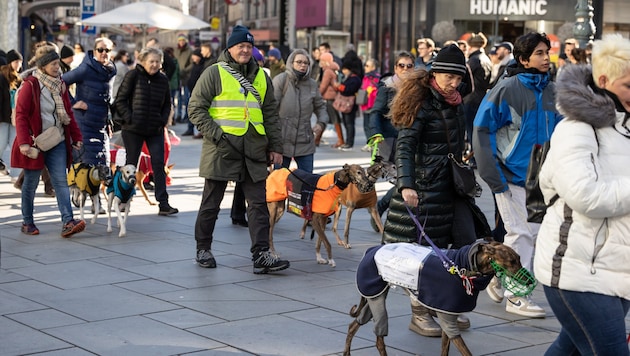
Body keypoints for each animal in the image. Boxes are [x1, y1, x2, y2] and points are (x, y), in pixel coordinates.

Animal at [346, 241, 532, 354]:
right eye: (512, 261)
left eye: (519, 258)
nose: (531, 281)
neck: (464, 268)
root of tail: (371, 250)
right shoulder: (448, 321)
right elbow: (466, 352)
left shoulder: (447, 318)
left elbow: (445, 349)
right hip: (375, 296)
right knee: (379, 339)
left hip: (374, 295)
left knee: (353, 325)